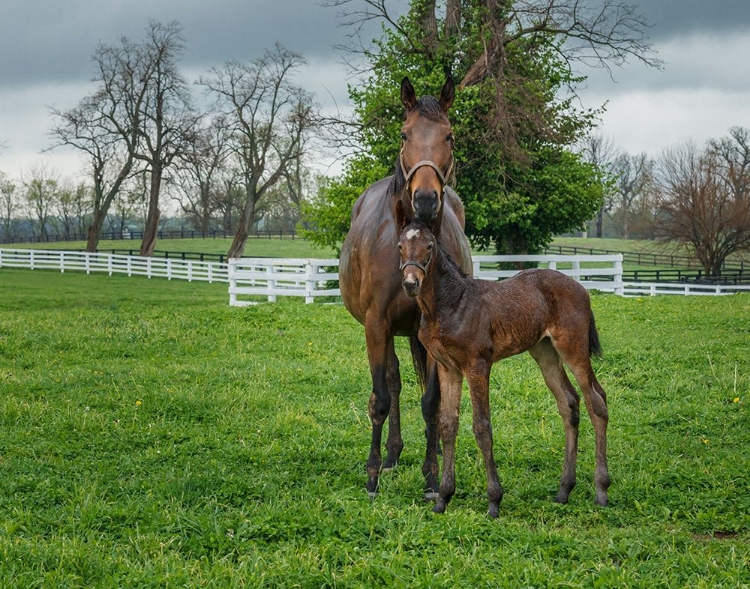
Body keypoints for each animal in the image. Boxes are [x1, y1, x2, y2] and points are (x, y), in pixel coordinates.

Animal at [340, 74, 470, 496]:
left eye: (449, 136)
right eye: (404, 133)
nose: (425, 198)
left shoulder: (430, 331)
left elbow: (431, 402)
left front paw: (431, 476)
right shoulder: (376, 325)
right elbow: (381, 397)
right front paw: (372, 474)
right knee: (393, 382)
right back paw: (392, 455)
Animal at [400, 218, 612, 516]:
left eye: (429, 246)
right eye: (400, 245)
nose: (410, 282)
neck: (451, 304)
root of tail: (582, 288)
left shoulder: (477, 365)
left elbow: (481, 426)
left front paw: (494, 501)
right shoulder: (448, 368)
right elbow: (447, 424)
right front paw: (443, 497)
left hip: (573, 348)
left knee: (597, 401)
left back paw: (601, 490)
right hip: (545, 352)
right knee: (569, 402)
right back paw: (564, 490)